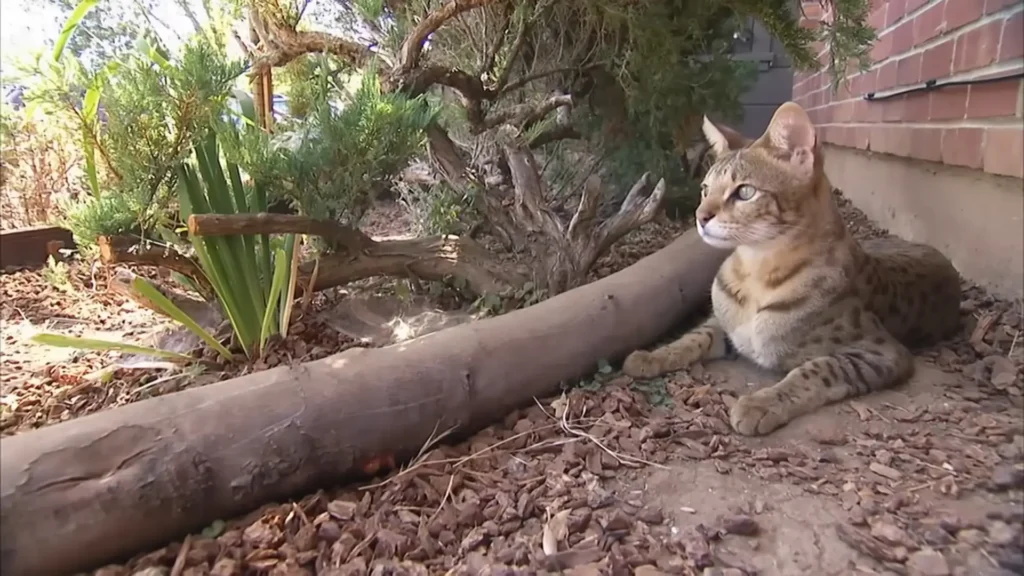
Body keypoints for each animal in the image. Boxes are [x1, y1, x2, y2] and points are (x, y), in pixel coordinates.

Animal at [618, 101, 962, 434]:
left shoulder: (883, 350)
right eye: (705, 189)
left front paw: (761, 403)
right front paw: (653, 355)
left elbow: (818, 368)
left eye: (745, 192)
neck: (756, 273)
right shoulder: (727, 325)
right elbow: (695, 336)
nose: (700, 216)